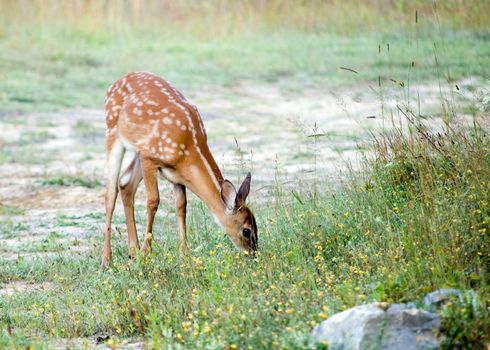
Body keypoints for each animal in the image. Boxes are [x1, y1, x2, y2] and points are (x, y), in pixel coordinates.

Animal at [102, 72, 258, 268]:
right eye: (246, 231)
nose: (253, 254)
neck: (189, 145)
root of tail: (118, 81)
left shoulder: (176, 174)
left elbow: (181, 205)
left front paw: (184, 253)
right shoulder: (149, 157)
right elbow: (153, 201)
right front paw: (146, 253)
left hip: (137, 149)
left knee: (125, 183)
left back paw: (132, 251)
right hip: (113, 133)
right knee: (110, 193)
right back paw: (107, 259)